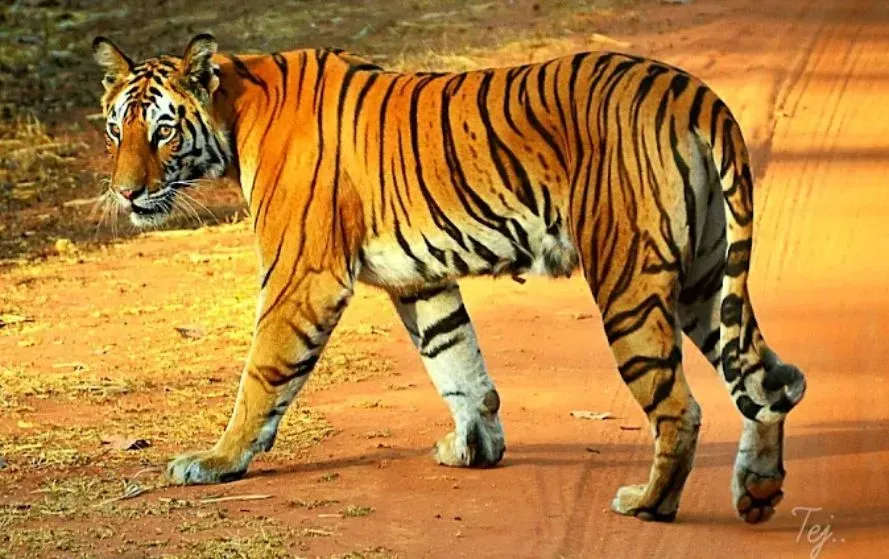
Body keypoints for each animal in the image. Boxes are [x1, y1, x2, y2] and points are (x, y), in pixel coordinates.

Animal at [91, 33, 806, 524]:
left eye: (162, 131)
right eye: (115, 129)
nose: (126, 194)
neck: (235, 112)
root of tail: (692, 92)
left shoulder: (302, 275)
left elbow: (262, 374)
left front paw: (217, 460)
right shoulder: (419, 276)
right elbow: (457, 361)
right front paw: (475, 445)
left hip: (629, 278)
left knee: (683, 406)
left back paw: (648, 503)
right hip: (705, 278)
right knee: (770, 378)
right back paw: (758, 491)